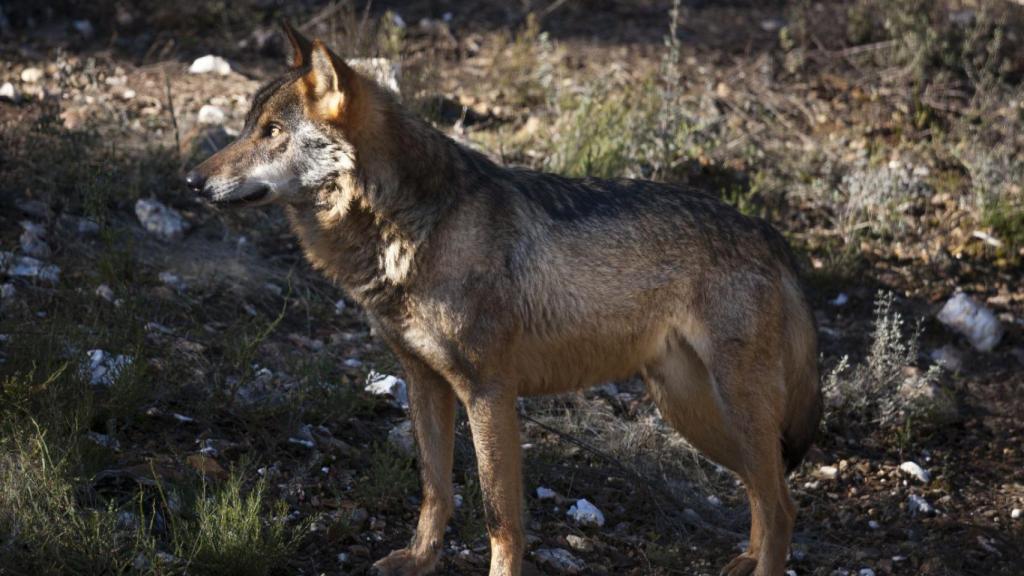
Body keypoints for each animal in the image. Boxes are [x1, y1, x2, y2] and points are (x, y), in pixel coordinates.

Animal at [185, 23, 822, 576]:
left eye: (271, 131)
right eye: (248, 126)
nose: (191, 181)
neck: (415, 228)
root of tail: (771, 235)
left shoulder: (489, 392)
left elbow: (499, 516)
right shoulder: (424, 381)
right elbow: (435, 488)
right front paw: (419, 560)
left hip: (725, 405)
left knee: (783, 504)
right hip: (690, 410)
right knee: (763, 488)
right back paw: (745, 559)